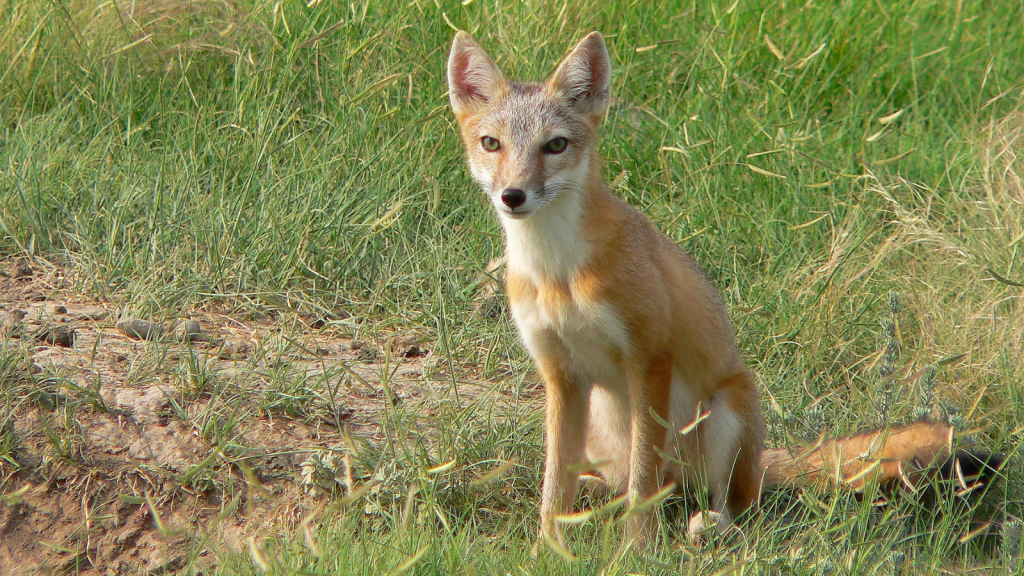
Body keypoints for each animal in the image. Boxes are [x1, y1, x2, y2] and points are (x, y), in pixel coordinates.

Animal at [446, 29, 999, 545]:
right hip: (602, 424)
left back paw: (710, 527)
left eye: (555, 145)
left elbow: (642, 484)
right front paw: (549, 548)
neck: (557, 274)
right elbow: (553, 486)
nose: (513, 195)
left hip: (722, 418)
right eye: (492, 144)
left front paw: (635, 551)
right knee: (628, 483)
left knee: (726, 505)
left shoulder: (649, 358)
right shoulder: (560, 373)